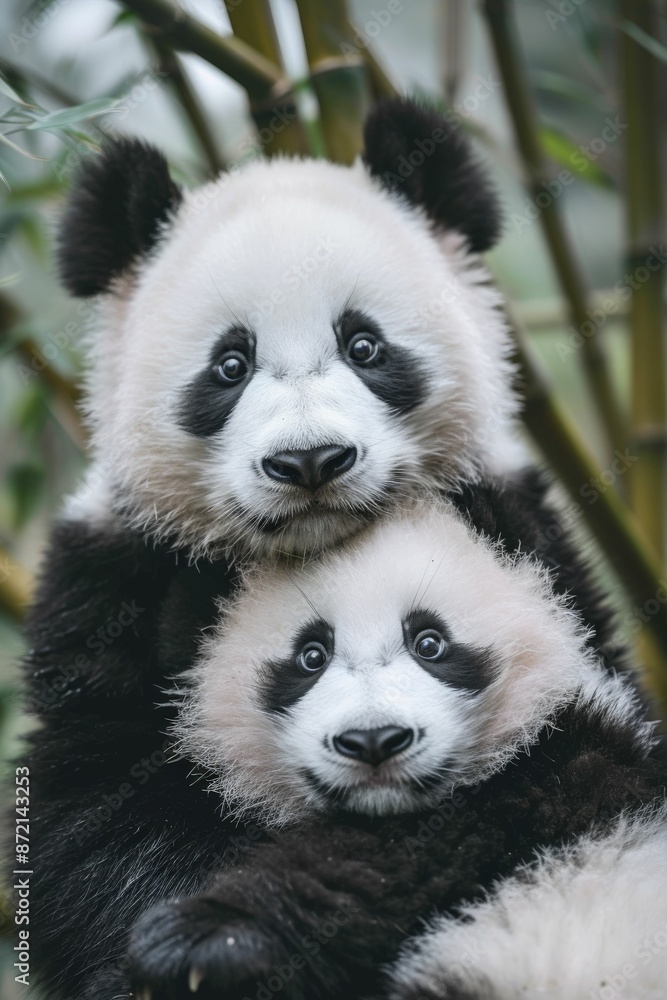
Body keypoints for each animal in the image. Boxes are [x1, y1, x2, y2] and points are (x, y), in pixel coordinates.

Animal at [120, 499, 667, 1000]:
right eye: (311, 656)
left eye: (429, 642)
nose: (374, 740)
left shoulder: (571, 767)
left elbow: (406, 855)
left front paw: (208, 940)